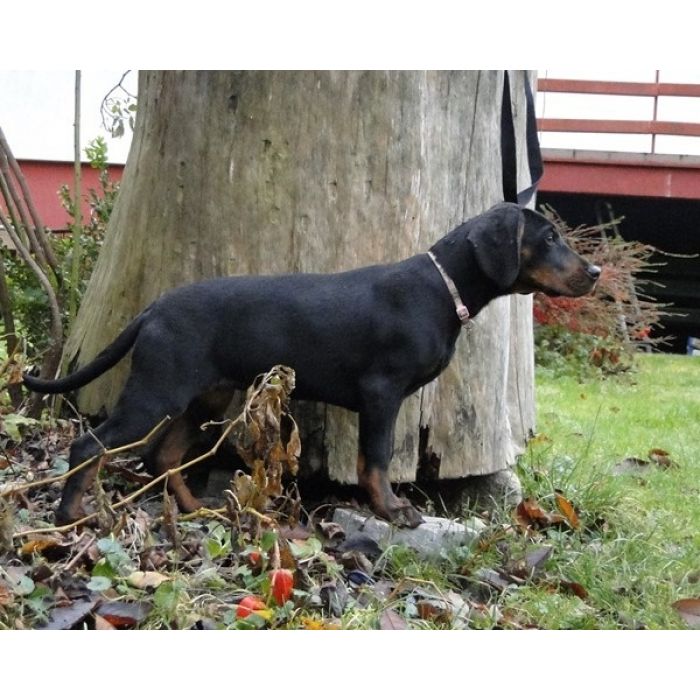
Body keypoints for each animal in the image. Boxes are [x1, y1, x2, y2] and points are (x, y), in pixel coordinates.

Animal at [24, 205, 600, 528]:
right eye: (549, 238)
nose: (595, 271)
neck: (443, 289)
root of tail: (153, 309)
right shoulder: (381, 392)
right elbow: (376, 459)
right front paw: (392, 510)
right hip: (158, 390)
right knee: (92, 446)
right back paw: (71, 515)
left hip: (205, 395)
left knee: (161, 456)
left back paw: (193, 510)